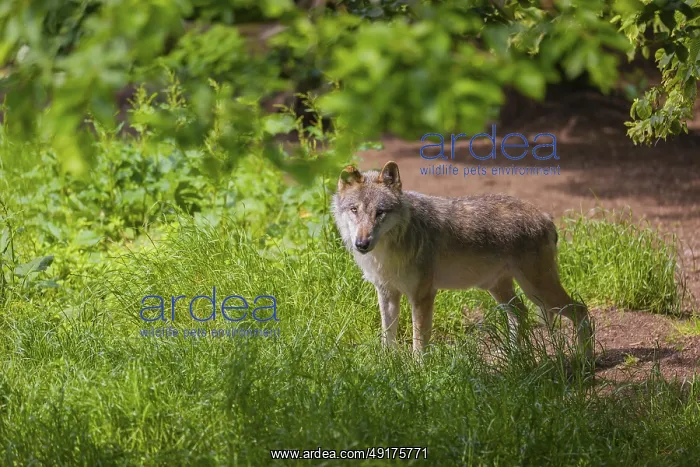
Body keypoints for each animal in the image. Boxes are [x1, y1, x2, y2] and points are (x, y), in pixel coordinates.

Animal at [332, 160, 593, 360]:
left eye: (380, 213)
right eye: (354, 210)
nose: (362, 244)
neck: (389, 251)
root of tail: (546, 216)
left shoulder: (422, 296)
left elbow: (419, 340)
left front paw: (417, 371)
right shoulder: (387, 293)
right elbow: (388, 336)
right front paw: (387, 365)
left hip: (538, 291)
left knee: (580, 310)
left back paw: (584, 360)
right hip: (501, 290)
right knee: (521, 314)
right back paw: (512, 359)